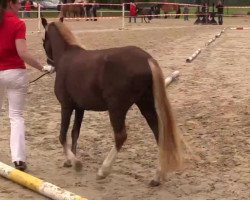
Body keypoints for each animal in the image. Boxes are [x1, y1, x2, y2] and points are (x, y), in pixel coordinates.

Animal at [40, 18, 182, 187]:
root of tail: (147, 59)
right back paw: (156, 177)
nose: (49, 64)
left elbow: (62, 135)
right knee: (158, 132)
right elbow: (75, 133)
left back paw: (103, 171)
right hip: (146, 105)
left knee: (120, 136)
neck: (66, 56)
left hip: (117, 109)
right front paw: (70, 161)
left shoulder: (66, 106)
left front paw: (75, 163)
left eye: (43, 40)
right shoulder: (80, 108)